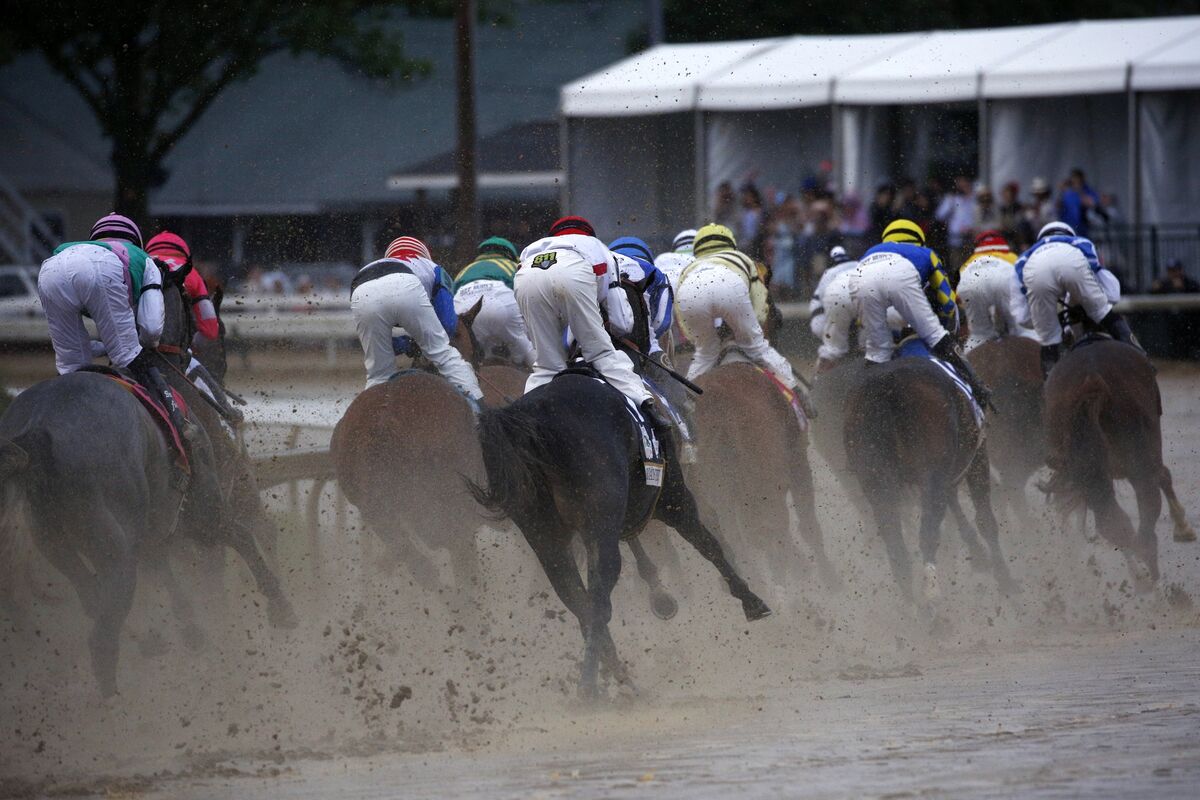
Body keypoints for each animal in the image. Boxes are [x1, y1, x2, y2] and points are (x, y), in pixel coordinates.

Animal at [468, 371, 768, 695]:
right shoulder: (673, 498)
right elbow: (709, 544)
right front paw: (751, 601)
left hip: (545, 536)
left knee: (578, 601)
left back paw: (620, 681)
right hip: (601, 524)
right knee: (599, 600)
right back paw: (591, 686)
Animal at [686, 357, 844, 594]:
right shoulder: (798, 464)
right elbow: (808, 525)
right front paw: (830, 579)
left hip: (720, 500)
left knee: (740, 544)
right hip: (766, 489)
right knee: (773, 534)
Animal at [840, 352, 1017, 604]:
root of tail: (886, 385)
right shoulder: (977, 457)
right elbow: (985, 520)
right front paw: (1004, 578)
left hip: (877, 482)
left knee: (897, 549)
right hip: (932, 474)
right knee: (928, 532)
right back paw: (931, 596)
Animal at [1041, 338, 1190, 587]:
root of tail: (1092, 381)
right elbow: (1164, 475)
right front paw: (1183, 526)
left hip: (1094, 475)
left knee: (1110, 519)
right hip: (1139, 459)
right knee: (1148, 503)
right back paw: (1149, 571)